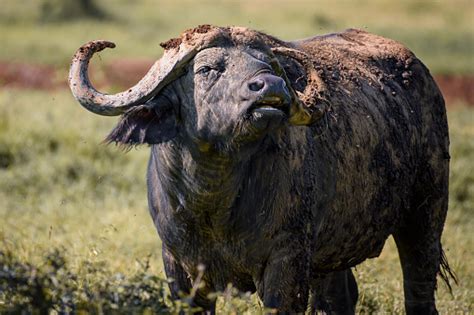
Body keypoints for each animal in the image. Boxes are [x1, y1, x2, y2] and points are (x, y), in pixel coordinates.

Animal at [68, 25, 454, 314]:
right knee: (340, 299)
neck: (214, 202)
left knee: (419, 290)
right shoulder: (179, 267)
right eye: (207, 69)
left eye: (269, 64)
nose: (271, 86)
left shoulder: (288, 262)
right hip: (333, 253)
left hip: (425, 217)